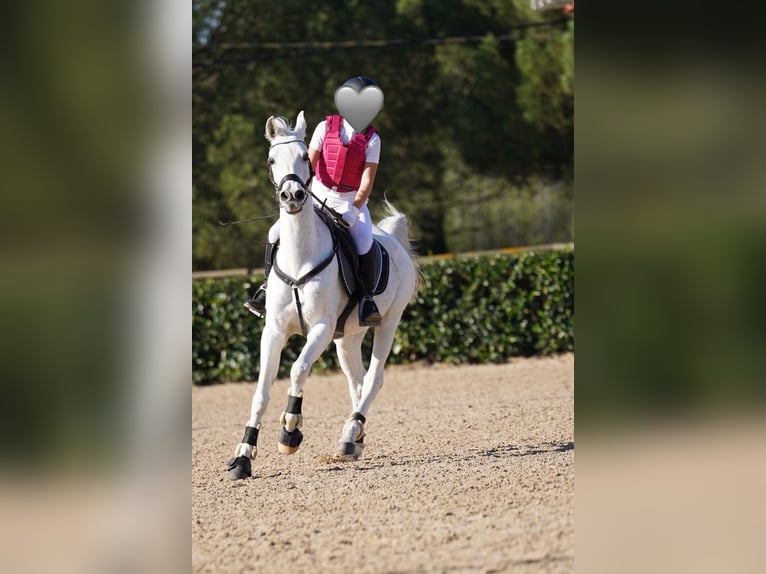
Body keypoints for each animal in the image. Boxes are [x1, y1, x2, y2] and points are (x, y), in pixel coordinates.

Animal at [226, 110, 420, 480]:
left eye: (305, 158)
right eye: (272, 160)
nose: (292, 196)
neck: (300, 253)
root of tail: (391, 238)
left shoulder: (321, 328)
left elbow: (297, 369)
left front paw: (290, 431)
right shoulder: (274, 331)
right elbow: (261, 393)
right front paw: (242, 457)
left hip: (388, 322)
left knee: (373, 378)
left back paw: (349, 435)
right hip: (348, 338)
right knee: (357, 382)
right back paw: (353, 438)